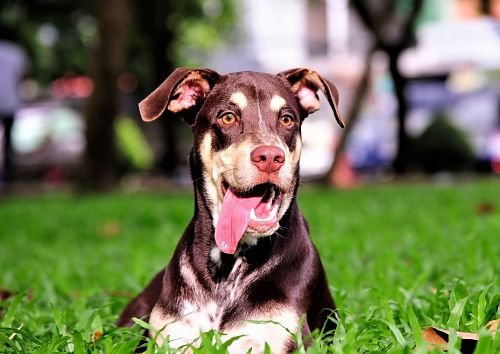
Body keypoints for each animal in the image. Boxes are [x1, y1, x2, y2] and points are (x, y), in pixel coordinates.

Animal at [117, 68, 344, 352]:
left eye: (287, 119)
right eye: (228, 117)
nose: (270, 157)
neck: (228, 267)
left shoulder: (279, 337)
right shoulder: (169, 337)